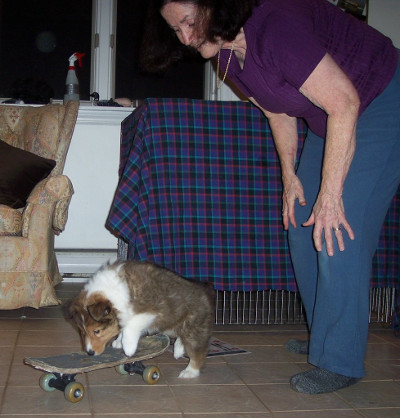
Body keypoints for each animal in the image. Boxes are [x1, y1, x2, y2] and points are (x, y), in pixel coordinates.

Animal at [68, 260, 216, 378]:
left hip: (194, 326)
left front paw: (128, 347)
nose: (89, 353)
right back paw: (178, 349)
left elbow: (130, 326)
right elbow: (123, 326)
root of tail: (206, 290)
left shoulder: (150, 311)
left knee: (198, 351)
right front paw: (118, 341)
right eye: (82, 332)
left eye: (97, 331)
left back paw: (190, 371)